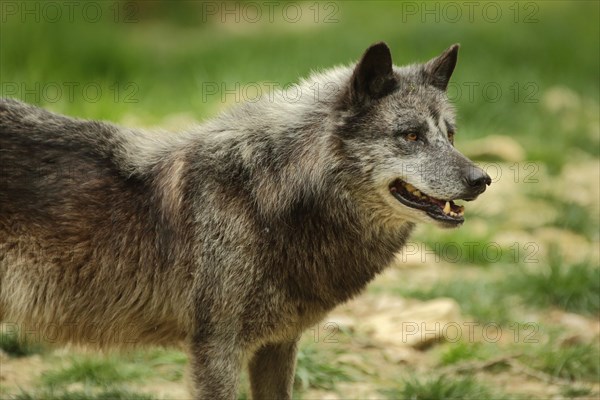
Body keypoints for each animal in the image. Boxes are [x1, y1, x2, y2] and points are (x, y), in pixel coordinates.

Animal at [1, 42, 492, 398]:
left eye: (449, 135)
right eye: (410, 136)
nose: (482, 179)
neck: (265, 197)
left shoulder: (278, 344)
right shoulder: (216, 352)